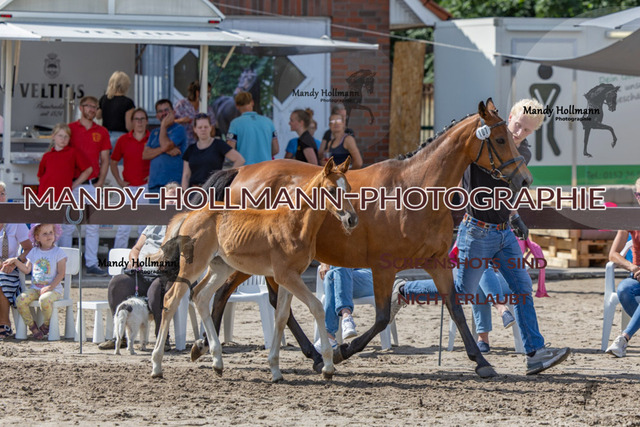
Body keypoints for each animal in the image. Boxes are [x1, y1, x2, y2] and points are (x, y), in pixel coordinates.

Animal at [150, 158, 358, 381]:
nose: (351, 219)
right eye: (331, 189)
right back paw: (157, 365)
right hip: (194, 266)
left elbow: (281, 317)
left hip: (220, 268)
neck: (295, 223)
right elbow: (316, 307)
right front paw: (327, 365)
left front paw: (275, 369)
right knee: (171, 299)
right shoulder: (286, 276)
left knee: (201, 296)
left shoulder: (288, 278)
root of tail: (189, 215)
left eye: (349, 188)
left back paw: (216, 361)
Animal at [192, 98, 532, 378]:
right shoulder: (383, 267)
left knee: (249, 299)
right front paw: (343, 351)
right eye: (499, 139)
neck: (415, 189)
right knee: (232, 295)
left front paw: (482, 362)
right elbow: (381, 318)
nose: (525, 178)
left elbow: (456, 308)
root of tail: (241, 173)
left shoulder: (436, 263)